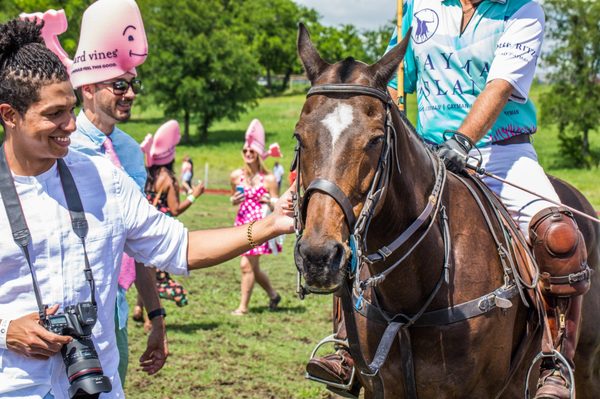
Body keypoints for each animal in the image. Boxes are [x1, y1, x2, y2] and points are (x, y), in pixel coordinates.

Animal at [292, 25, 600, 399]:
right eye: (299, 136)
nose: (319, 256)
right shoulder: (381, 387)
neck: (409, 297)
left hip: (587, 360)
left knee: (557, 234)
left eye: (376, 140)